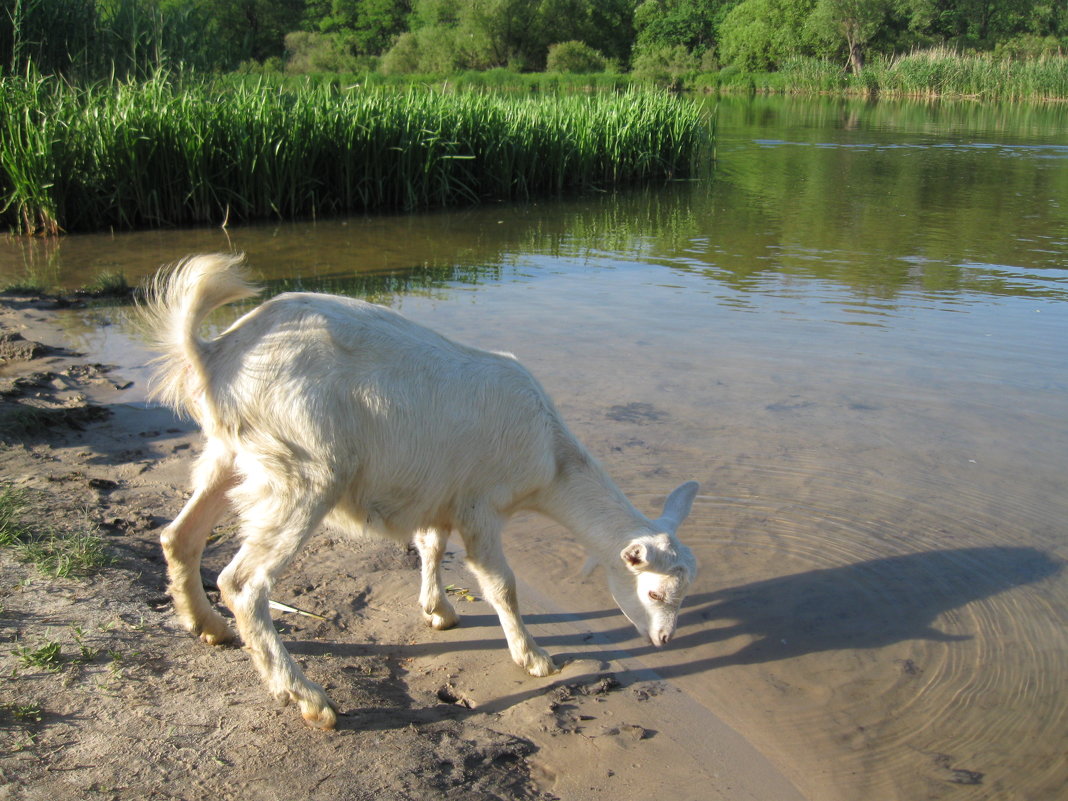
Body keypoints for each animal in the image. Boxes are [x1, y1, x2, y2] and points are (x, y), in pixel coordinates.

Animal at [142, 254, 700, 730]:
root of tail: (215, 355)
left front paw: (439, 612)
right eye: (653, 592)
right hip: (304, 465)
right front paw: (534, 657)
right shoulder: (480, 505)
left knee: (179, 536)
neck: (550, 456)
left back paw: (208, 627)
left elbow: (430, 545)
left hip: (232, 453)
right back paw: (309, 699)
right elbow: (501, 584)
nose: (664, 638)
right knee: (243, 582)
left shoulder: (441, 492)